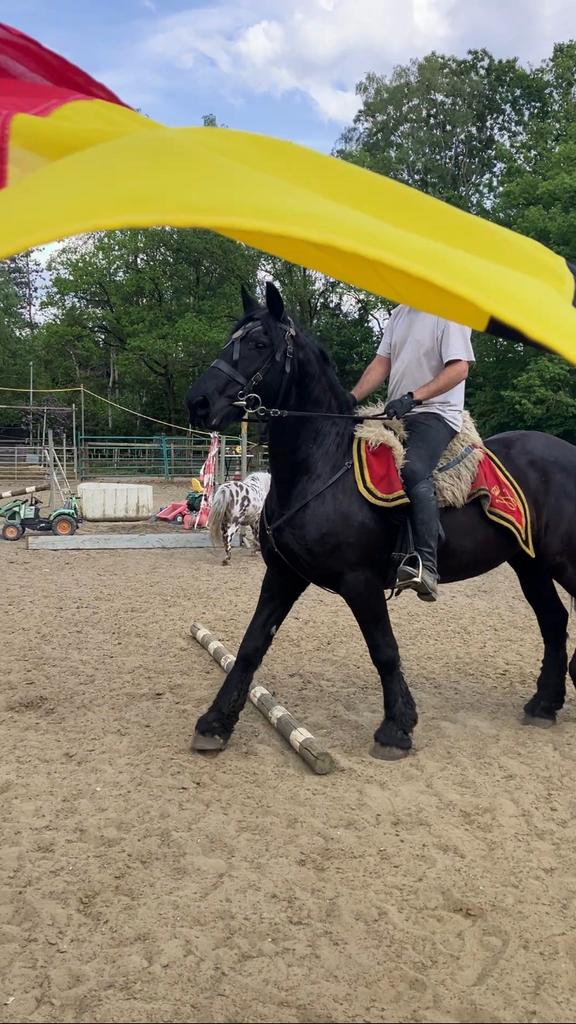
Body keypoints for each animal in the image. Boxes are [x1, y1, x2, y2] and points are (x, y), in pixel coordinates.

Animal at [187, 282, 576, 760]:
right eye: (231, 340)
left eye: (260, 344)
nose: (198, 402)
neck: (322, 465)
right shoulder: (283, 576)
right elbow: (250, 646)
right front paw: (215, 724)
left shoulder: (361, 581)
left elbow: (384, 650)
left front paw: (396, 728)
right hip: (530, 564)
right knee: (554, 621)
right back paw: (544, 704)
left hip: (563, 562)